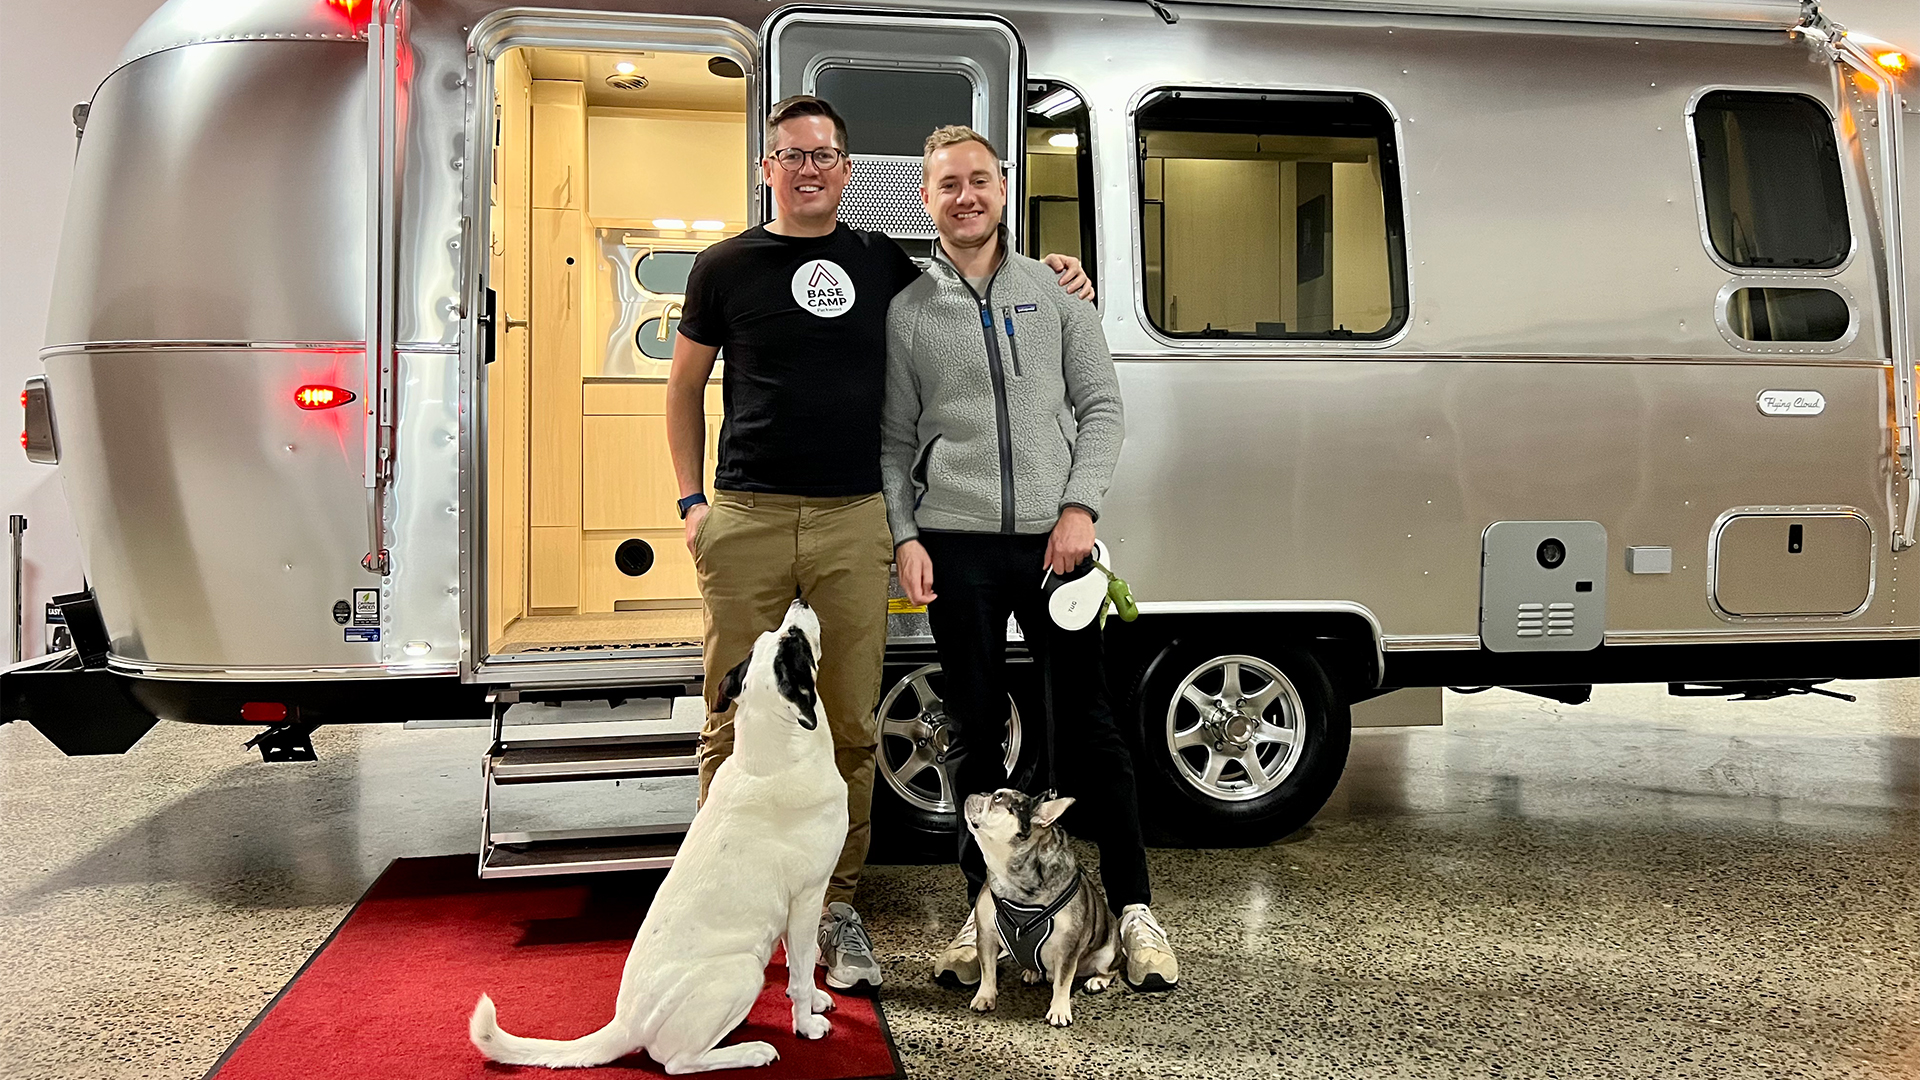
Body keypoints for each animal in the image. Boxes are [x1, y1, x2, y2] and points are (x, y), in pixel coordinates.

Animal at [464, 595, 848, 1068]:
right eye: (793, 641)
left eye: (777, 637)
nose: (800, 599)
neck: (772, 756)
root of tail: (626, 1024)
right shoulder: (808, 897)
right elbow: (801, 969)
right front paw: (807, 1023)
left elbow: (800, 963)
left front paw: (814, 1001)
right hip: (741, 970)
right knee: (675, 1061)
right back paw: (751, 1051)